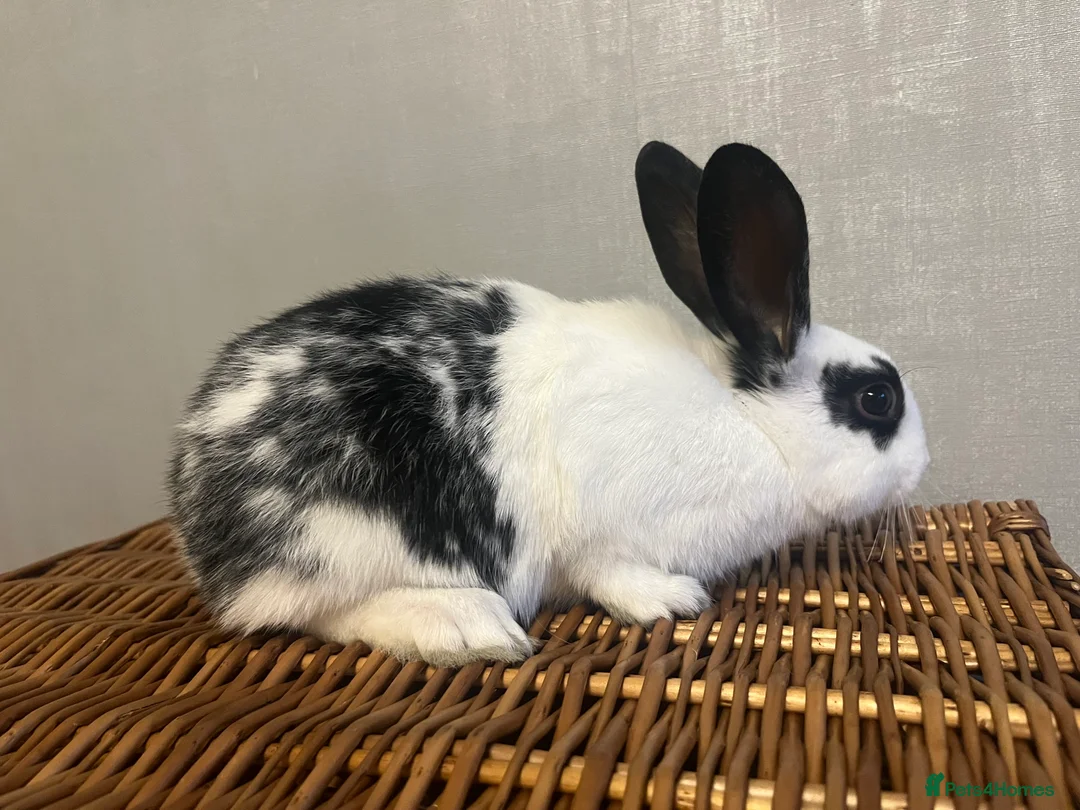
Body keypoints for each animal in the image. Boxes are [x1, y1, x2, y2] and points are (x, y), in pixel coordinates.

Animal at [167, 141, 929, 667]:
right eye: (878, 398)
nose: (923, 464)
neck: (754, 422)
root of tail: (194, 511)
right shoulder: (602, 534)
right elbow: (611, 574)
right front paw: (673, 600)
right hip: (342, 539)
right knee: (313, 612)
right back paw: (465, 628)